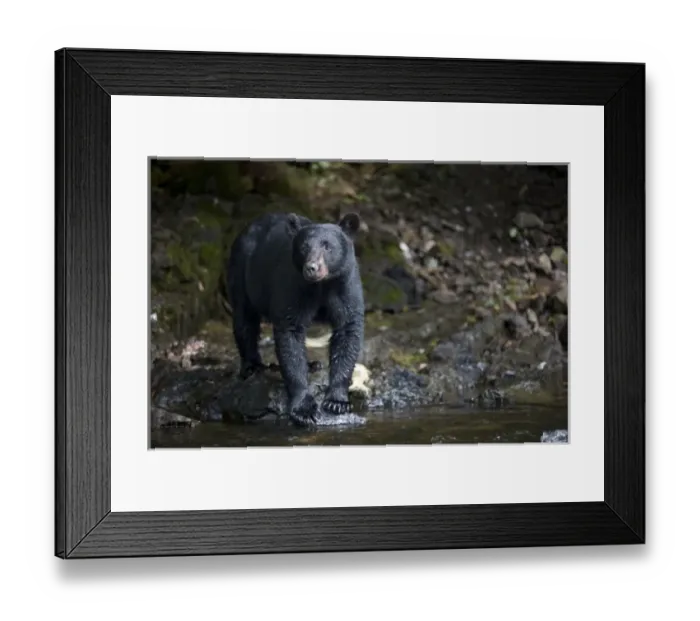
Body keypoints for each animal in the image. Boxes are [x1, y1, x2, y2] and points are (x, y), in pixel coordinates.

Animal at [223, 211, 365, 427]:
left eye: (327, 246)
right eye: (304, 247)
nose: (312, 268)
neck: (321, 286)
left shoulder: (345, 285)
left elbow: (348, 330)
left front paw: (337, 401)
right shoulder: (293, 286)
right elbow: (290, 335)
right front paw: (304, 409)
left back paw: (313, 364)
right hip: (242, 269)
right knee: (244, 318)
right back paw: (252, 366)